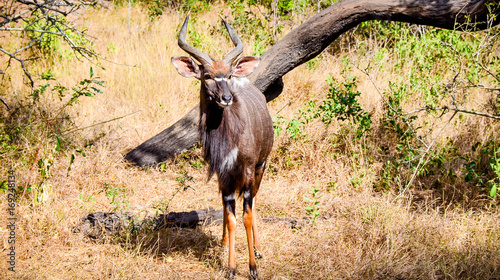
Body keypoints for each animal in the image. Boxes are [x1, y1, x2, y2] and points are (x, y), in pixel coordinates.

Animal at [171, 16, 274, 278]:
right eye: (207, 76)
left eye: (228, 75)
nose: (226, 98)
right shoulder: (223, 173)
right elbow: (230, 216)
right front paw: (230, 267)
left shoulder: (247, 169)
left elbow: (246, 216)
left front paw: (253, 268)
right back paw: (224, 242)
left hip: (261, 167)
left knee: (254, 201)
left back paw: (258, 248)